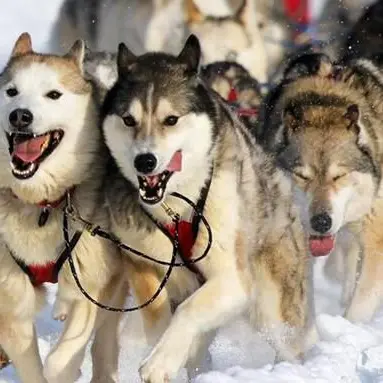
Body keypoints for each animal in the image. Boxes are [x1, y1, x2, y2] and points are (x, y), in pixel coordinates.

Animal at [0, 33, 127, 383]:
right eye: (11, 91)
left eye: (53, 94)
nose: (20, 115)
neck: (43, 203)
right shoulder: (11, 296)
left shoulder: (96, 280)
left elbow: (63, 356)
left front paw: (66, 368)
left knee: (105, 337)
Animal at [101, 34, 316, 382]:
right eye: (128, 120)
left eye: (171, 119)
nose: (144, 161)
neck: (175, 206)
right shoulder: (141, 261)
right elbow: (156, 314)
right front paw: (161, 350)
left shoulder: (233, 280)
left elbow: (187, 311)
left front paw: (160, 362)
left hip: (275, 310)